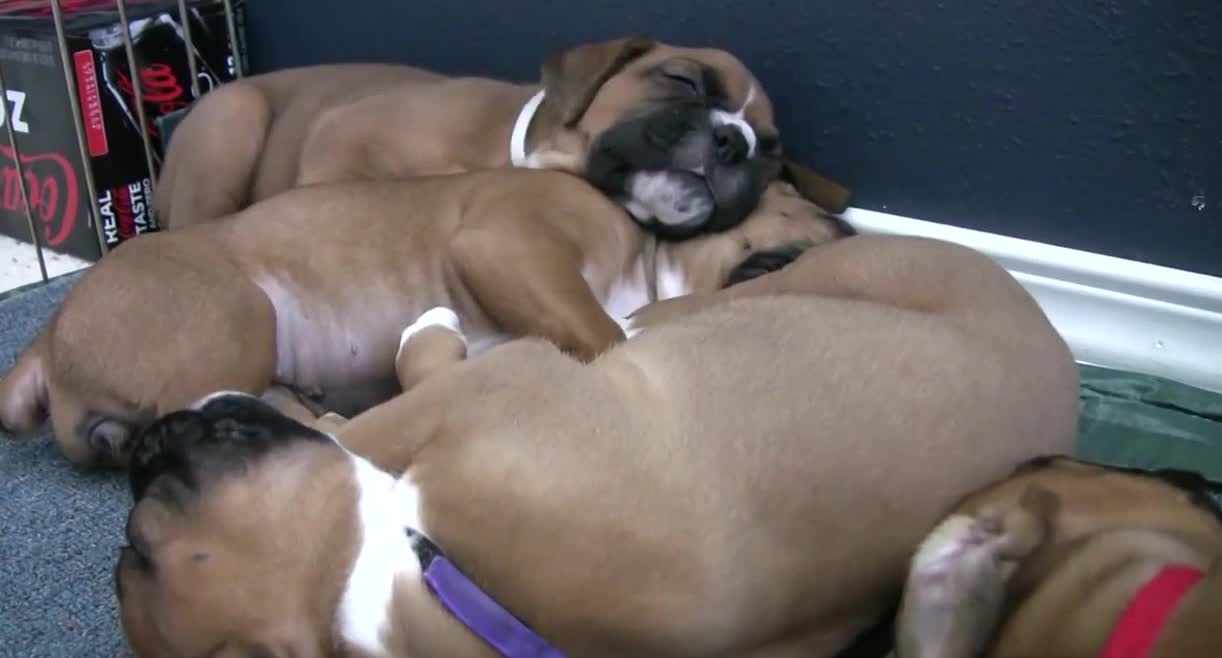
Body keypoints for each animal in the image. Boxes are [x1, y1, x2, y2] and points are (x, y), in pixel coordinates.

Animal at [0, 168, 850, 467]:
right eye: (792, 197)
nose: (847, 226)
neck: (647, 257)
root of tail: (46, 336)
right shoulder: (511, 243)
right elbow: (601, 331)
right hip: (236, 321)